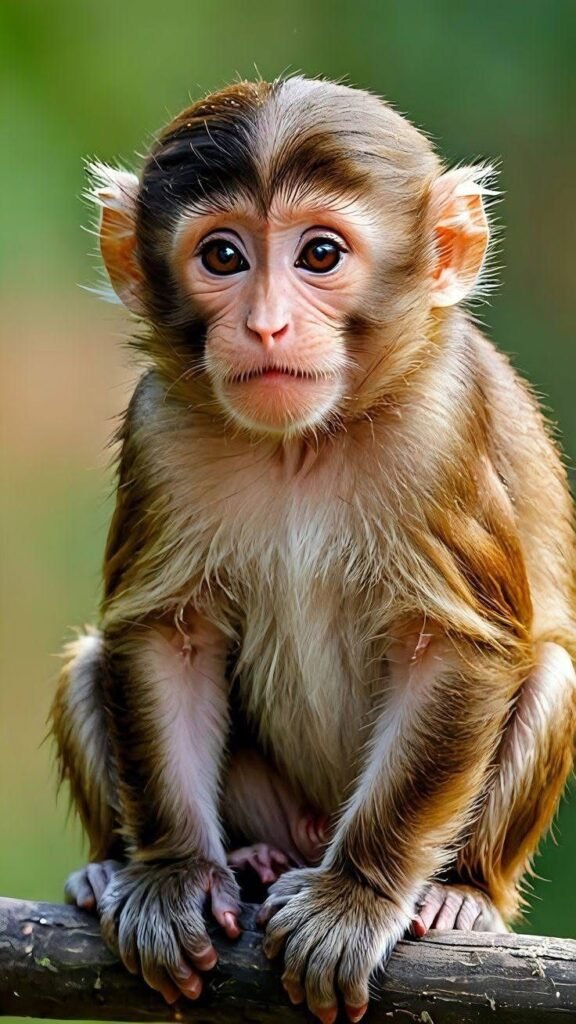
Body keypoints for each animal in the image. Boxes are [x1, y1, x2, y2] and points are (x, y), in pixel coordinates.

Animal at [50, 76, 576, 1024]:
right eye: (223, 256)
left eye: (321, 254)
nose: (265, 326)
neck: (303, 442)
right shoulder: (160, 428)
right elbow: (167, 637)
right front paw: (172, 879)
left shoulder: (440, 428)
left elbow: (457, 647)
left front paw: (355, 898)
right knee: (91, 662)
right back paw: (152, 865)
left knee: (550, 673)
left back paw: (460, 893)